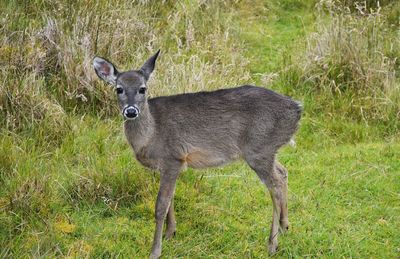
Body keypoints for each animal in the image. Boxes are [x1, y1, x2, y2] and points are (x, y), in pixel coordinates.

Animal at [93, 49, 300, 258]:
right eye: (118, 89)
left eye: (142, 89)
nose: (131, 111)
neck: (151, 134)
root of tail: (297, 108)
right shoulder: (169, 165)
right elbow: (170, 199)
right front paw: (171, 233)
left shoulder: (173, 157)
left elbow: (161, 205)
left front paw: (155, 250)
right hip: (267, 150)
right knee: (283, 172)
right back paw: (285, 226)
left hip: (259, 149)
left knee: (275, 185)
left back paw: (272, 244)